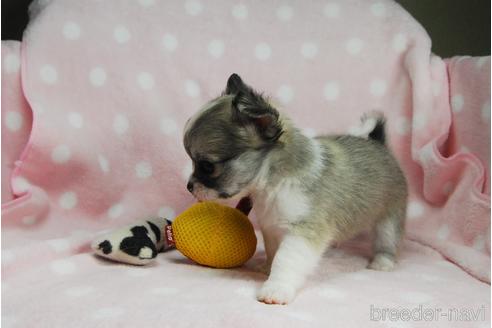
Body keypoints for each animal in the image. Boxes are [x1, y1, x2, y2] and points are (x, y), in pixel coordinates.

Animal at [184, 73, 408, 304]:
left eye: (207, 166)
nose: (189, 186)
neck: (272, 183)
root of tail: (379, 144)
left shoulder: (302, 230)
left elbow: (286, 259)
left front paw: (276, 287)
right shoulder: (271, 228)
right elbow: (273, 252)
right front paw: (267, 268)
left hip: (389, 217)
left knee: (387, 240)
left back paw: (382, 262)